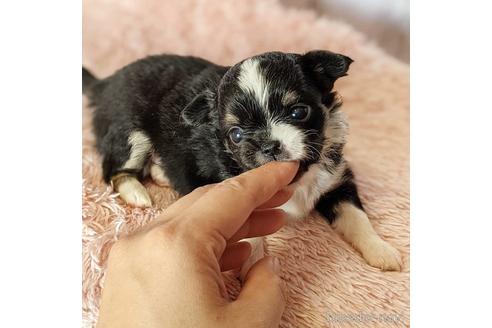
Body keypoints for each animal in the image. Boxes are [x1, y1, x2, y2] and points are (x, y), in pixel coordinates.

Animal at [82, 51, 402, 272]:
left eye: (299, 112)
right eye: (235, 135)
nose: (269, 145)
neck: (298, 181)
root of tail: (105, 83)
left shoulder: (337, 181)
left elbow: (356, 217)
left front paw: (382, 251)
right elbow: (249, 239)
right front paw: (252, 269)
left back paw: (161, 173)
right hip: (129, 132)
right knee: (114, 170)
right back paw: (138, 194)